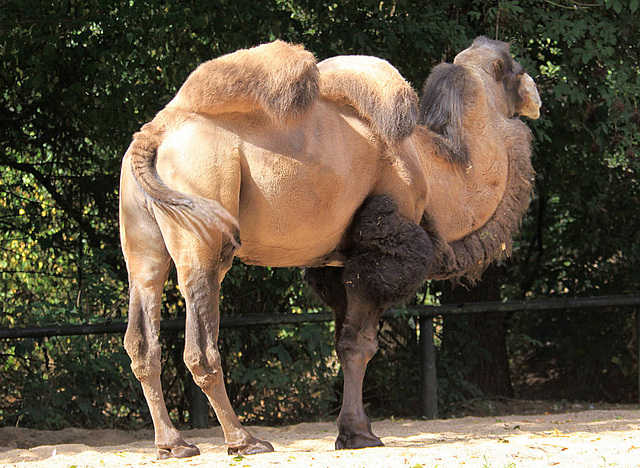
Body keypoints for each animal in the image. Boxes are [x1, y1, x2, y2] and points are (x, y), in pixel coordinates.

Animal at [119, 35, 540, 458]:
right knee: (201, 347)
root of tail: (154, 135)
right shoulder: (380, 250)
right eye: (515, 68)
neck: (436, 171)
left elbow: (343, 344)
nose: (535, 95)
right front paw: (359, 434)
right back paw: (245, 440)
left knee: (142, 338)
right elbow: (360, 346)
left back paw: (173, 444)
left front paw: (353, 431)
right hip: (203, 220)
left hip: (141, 239)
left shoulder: (335, 265)